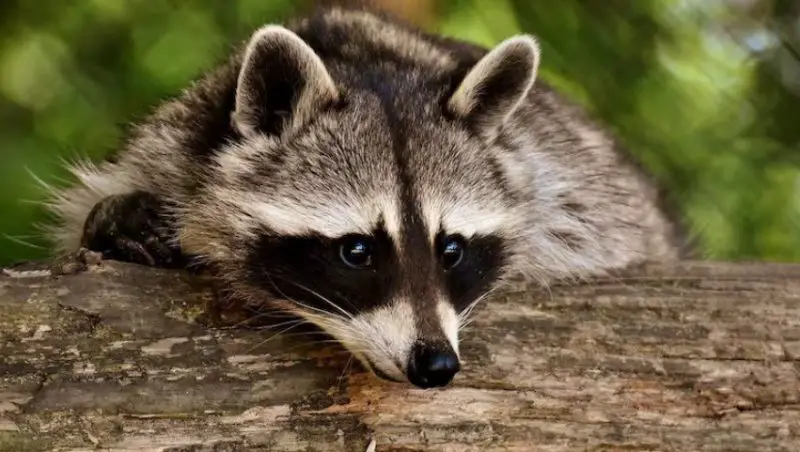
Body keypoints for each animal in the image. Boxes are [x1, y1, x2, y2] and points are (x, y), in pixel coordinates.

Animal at [42, 6, 686, 389]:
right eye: (357, 251)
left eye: (451, 249)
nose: (436, 366)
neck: (368, 63)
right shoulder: (170, 143)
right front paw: (117, 220)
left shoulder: (567, 184)